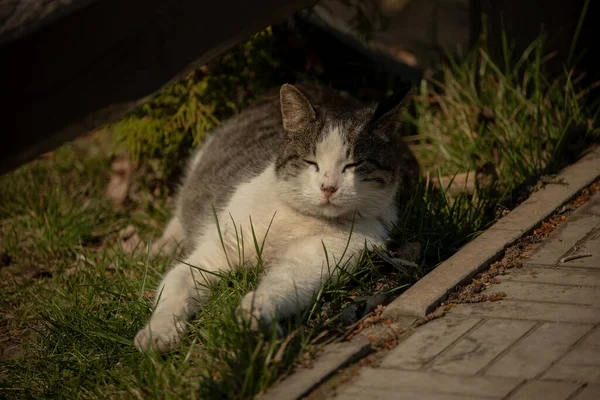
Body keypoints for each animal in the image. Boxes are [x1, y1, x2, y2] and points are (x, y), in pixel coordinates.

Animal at [134, 83, 420, 352]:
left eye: (353, 165)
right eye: (311, 162)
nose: (328, 187)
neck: (300, 219)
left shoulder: (323, 258)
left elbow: (284, 284)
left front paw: (255, 312)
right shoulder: (215, 252)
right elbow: (175, 286)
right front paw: (158, 333)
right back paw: (164, 244)